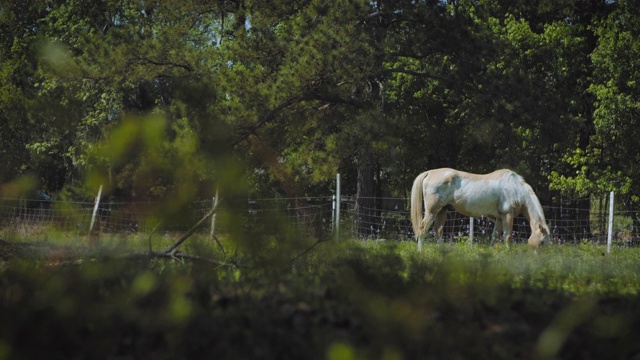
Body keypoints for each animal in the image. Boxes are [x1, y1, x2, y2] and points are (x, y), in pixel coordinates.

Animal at [410, 168, 552, 250]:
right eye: (542, 241)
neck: (516, 188)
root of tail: (430, 173)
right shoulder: (508, 214)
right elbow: (507, 236)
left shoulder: (500, 218)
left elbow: (495, 236)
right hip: (432, 212)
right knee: (422, 230)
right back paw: (420, 252)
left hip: (442, 210)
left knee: (438, 232)